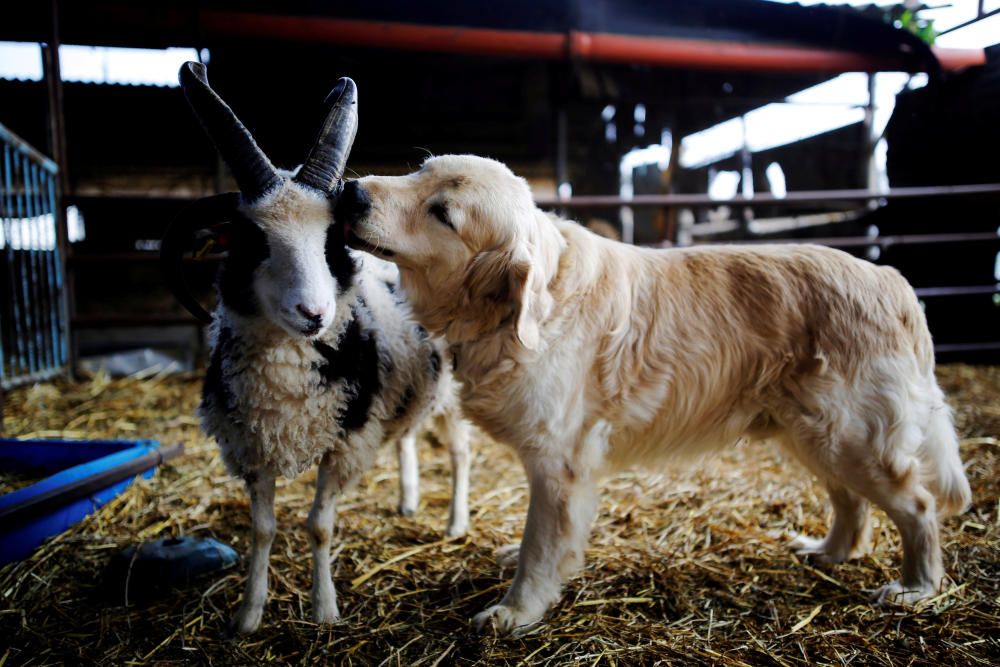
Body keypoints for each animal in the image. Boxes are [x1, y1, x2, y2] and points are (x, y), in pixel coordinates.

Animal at [166, 64, 470, 636]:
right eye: (251, 241)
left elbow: (319, 526)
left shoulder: (343, 441)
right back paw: (408, 500)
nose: (315, 314)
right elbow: (262, 530)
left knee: (460, 453)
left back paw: (456, 523)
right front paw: (248, 615)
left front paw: (324, 611)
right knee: (406, 437)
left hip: (453, 393)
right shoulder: (249, 446)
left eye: (333, 240)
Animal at [334, 154, 968, 636]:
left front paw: (517, 609)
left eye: (443, 212)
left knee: (918, 506)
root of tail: (892, 281)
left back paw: (916, 587)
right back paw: (829, 552)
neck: (518, 310)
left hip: (850, 437)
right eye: (420, 170)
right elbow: (541, 537)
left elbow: (543, 544)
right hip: (813, 434)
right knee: (852, 507)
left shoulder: (560, 462)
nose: (349, 192)